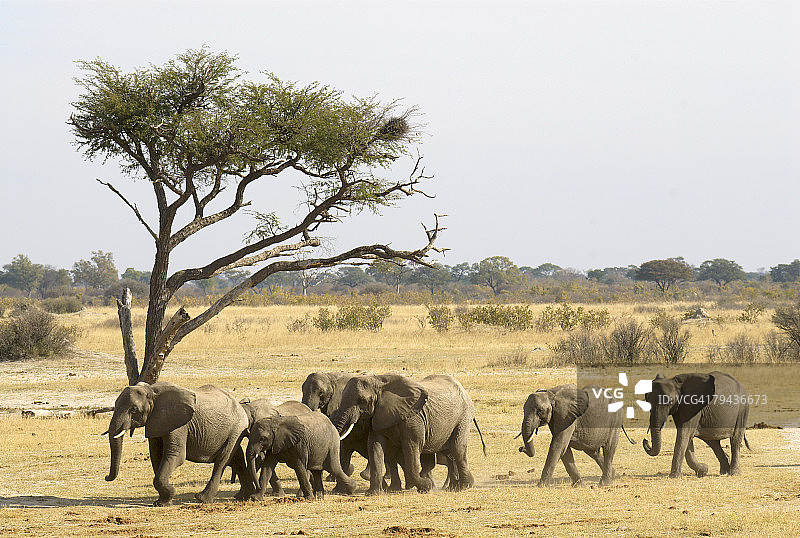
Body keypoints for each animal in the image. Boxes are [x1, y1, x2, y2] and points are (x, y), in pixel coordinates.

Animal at [104, 381, 253, 506]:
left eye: (134, 409)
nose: (106, 477)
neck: (152, 390)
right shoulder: (156, 421)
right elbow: (156, 455)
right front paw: (162, 501)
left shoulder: (179, 423)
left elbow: (176, 455)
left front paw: (167, 496)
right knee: (237, 459)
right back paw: (244, 496)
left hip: (236, 428)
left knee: (222, 461)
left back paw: (202, 499)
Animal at [330, 373, 485, 495]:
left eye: (362, 400)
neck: (379, 382)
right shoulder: (378, 415)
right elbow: (375, 447)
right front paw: (373, 493)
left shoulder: (413, 418)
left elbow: (411, 447)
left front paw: (425, 486)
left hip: (463, 416)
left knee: (457, 448)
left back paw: (463, 486)